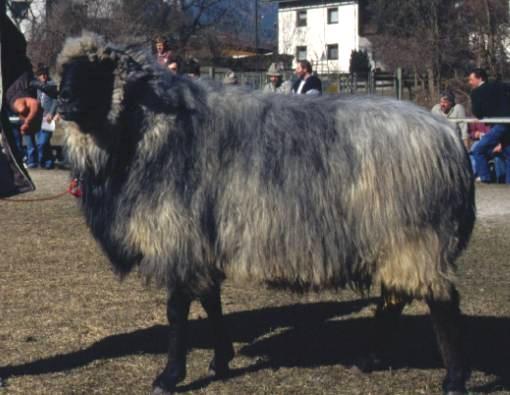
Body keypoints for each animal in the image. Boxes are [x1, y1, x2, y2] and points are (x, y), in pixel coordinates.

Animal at [54, 34, 474, 395]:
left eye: (97, 70)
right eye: (65, 71)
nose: (63, 100)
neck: (149, 132)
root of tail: (449, 137)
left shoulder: (180, 237)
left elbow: (177, 311)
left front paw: (170, 376)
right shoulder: (203, 241)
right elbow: (211, 302)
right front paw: (221, 360)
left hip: (417, 237)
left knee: (443, 303)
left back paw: (454, 379)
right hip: (396, 240)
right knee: (395, 296)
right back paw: (369, 358)